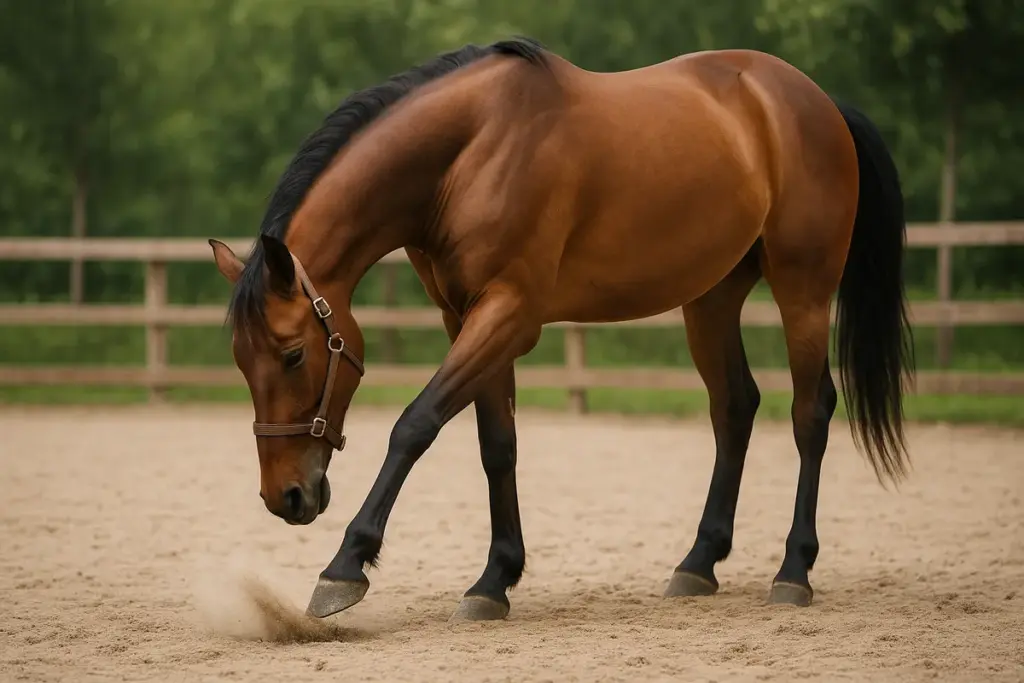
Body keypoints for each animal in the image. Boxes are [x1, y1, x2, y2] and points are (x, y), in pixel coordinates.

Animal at [208, 36, 915, 621]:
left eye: (293, 355)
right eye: (242, 361)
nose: (285, 496)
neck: (468, 155)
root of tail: (816, 101)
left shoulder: (510, 313)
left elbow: (415, 425)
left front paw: (345, 567)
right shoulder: (467, 318)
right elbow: (497, 444)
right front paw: (494, 580)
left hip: (804, 290)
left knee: (809, 413)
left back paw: (793, 570)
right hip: (711, 299)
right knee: (735, 407)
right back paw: (698, 563)